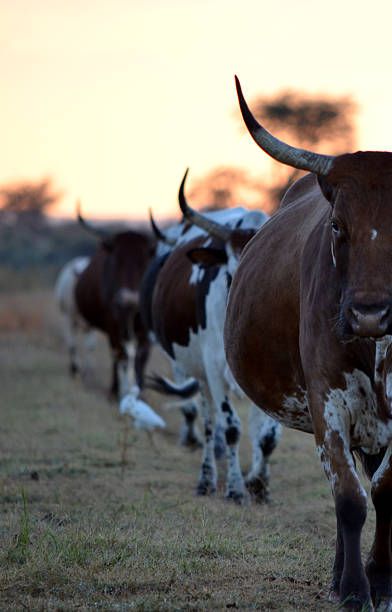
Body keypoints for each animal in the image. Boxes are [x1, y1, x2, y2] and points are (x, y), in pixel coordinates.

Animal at [75, 208, 155, 400]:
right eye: (115, 262)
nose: (128, 299)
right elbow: (119, 355)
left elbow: (141, 356)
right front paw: (116, 391)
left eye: (143, 262)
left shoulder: (146, 331)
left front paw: (140, 392)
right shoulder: (112, 325)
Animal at [142, 171, 280, 502]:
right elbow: (230, 428)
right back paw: (207, 479)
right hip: (198, 373)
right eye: (231, 270)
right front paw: (236, 488)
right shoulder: (214, 371)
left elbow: (268, 435)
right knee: (207, 422)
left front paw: (259, 483)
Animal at [224, 79, 392, 608]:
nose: (368, 314)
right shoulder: (327, 401)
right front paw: (356, 589)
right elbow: (350, 498)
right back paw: (339, 578)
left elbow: (387, 491)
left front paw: (383, 581)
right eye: (338, 225)